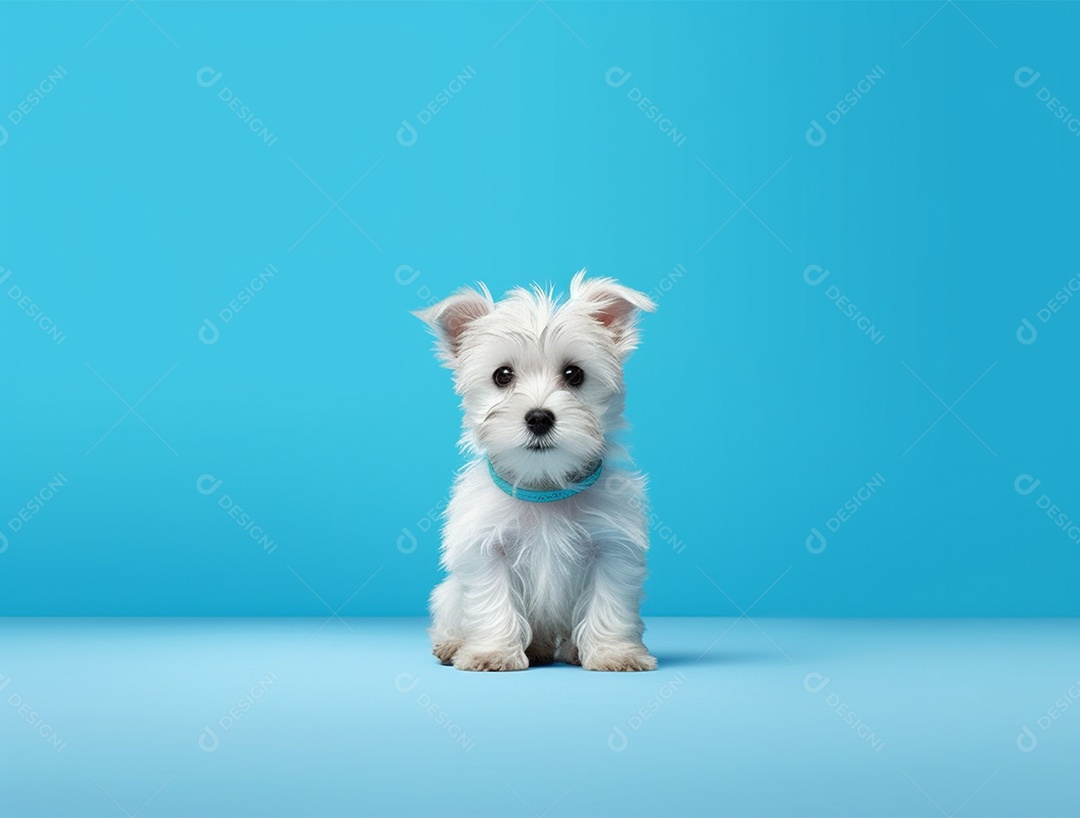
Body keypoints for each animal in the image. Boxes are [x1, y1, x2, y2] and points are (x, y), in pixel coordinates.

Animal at [416, 272, 656, 669]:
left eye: (574, 374)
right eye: (502, 376)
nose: (539, 417)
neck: (544, 487)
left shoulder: (611, 549)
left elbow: (609, 604)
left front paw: (613, 652)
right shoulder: (488, 549)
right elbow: (493, 602)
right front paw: (492, 652)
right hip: (448, 595)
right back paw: (454, 644)